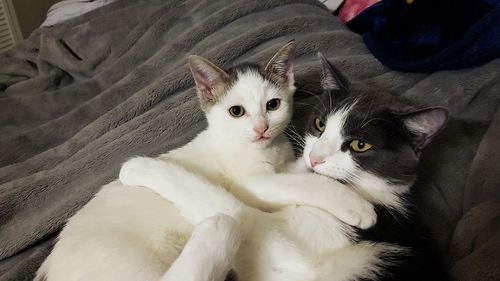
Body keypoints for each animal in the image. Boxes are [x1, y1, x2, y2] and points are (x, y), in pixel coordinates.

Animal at [119, 53, 452, 278]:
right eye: (319, 125)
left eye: (360, 146)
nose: (315, 157)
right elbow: (298, 178)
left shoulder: (284, 249)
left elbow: (225, 200)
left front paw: (142, 167)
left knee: (225, 221)